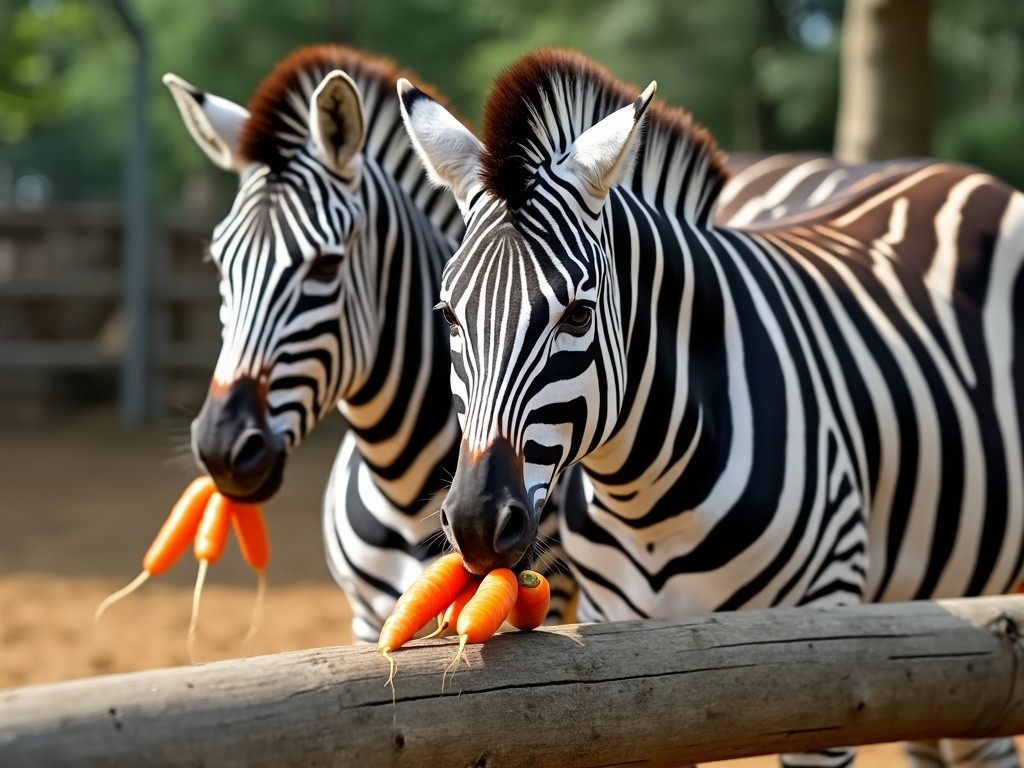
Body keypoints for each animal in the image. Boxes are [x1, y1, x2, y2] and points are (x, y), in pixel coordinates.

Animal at [397, 49, 1024, 768]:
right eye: (448, 316)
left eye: (578, 314)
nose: (476, 523)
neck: (648, 496)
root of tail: (965, 177)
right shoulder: (645, 652)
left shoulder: (831, 648)